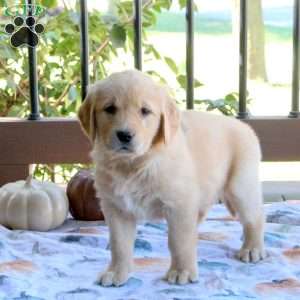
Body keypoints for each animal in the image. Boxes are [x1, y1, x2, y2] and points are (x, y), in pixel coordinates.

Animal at [78, 69, 266, 288]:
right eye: (110, 109)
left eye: (145, 111)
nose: (124, 135)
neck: (134, 165)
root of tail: (244, 126)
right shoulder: (116, 207)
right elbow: (119, 244)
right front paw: (117, 272)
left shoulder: (179, 205)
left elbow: (179, 241)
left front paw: (181, 271)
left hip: (241, 186)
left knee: (256, 217)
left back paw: (252, 248)